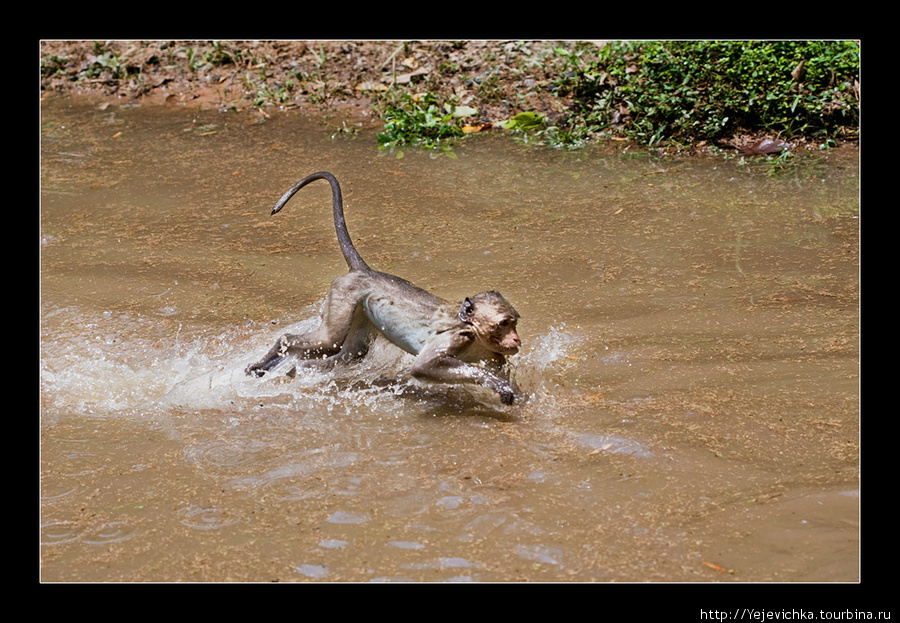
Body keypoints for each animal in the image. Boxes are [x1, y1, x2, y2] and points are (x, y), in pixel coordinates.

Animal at [246, 172, 524, 404]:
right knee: (328, 341)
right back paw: (274, 356)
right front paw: (498, 386)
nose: (516, 339)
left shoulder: (496, 356)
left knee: (350, 353)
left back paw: (295, 369)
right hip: (343, 294)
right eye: (503, 324)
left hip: (360, 310)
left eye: (514, 323)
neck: (473, 331)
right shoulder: (456, 337)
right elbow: (423, 366)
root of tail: (364, 271)